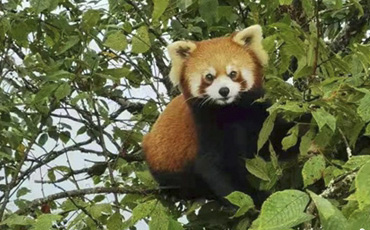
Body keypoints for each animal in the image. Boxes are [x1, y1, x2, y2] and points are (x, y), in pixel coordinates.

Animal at [144, 25, 298, 204]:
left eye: (233, 73)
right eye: (209, 77)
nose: (224, 91)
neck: (230, 110)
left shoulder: (256, 112)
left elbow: (276, 138)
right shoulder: (203, 125)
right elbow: (215, 166)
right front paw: (253, 199)